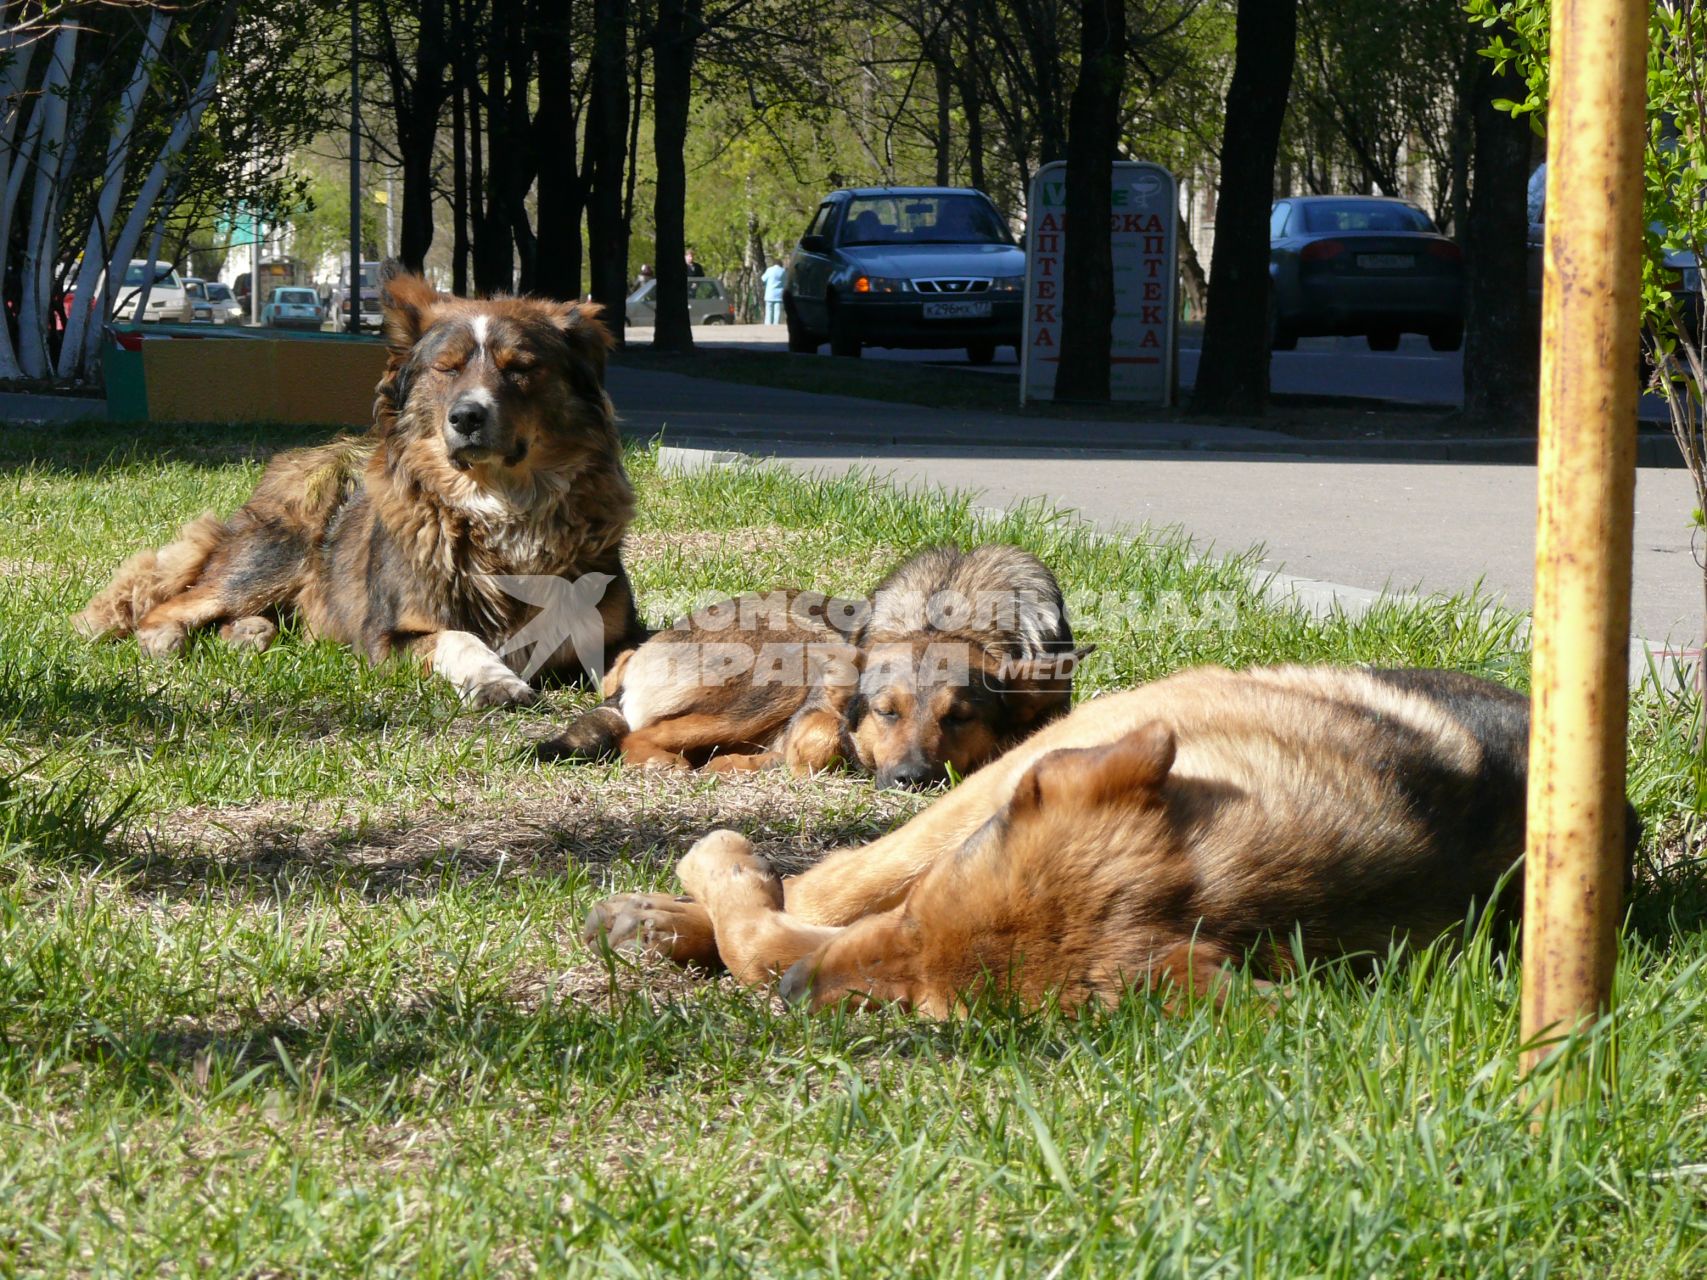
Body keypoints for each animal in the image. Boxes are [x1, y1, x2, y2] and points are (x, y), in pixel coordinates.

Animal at [71, 273, 645, 713]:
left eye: (521, 368)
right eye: (447, 368)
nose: (466, 417)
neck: (498, 505)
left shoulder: (614, 630)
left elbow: (640, 652)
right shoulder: (385, 637)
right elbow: (460, 638)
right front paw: (495, 680)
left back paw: (249, 634)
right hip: (277, 553)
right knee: (173, 605)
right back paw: (166, 639)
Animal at [539, 542, 1085, 788]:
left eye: (960, 717)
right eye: (886, 712)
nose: (912, 779)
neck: (953, 617)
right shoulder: (821, 707)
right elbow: (818, 743)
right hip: (794, 658)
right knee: (639, 740)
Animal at [583, 665, 1638, 1017]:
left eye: (924, 1013)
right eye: (920, 914)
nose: (804, 1000)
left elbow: (775, 936)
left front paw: (715, 896)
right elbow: (803, 910)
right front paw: (709, 885)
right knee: (830, 879)